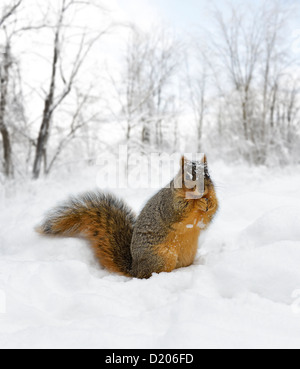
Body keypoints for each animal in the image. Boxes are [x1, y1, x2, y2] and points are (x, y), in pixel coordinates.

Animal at [38, 154, 220, 278]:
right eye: (188, 176)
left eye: (208, 174)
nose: (201, 190)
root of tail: (134, 269)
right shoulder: (168, 204)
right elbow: (180, 210)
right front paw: (196, 203)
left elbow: (207, 217)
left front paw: (209, 203)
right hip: (162, 257)